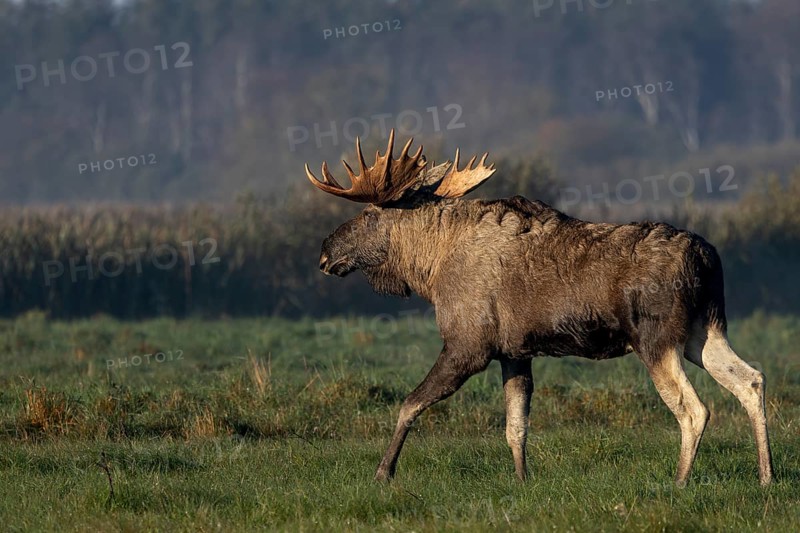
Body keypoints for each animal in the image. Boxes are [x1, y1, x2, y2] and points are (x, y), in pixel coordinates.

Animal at [303, 130, 774, 486]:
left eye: (369, 214)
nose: (325, 252)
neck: (429, 269)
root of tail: (707, 258)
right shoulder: (514, 352)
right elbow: (516, 428)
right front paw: (522, 480)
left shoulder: (467, 346)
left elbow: (410, 404)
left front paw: (383, 472)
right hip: (703, 331)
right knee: (750, 380)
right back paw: (766, 476)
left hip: (656, 339)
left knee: (694, 410)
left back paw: (679, 481)